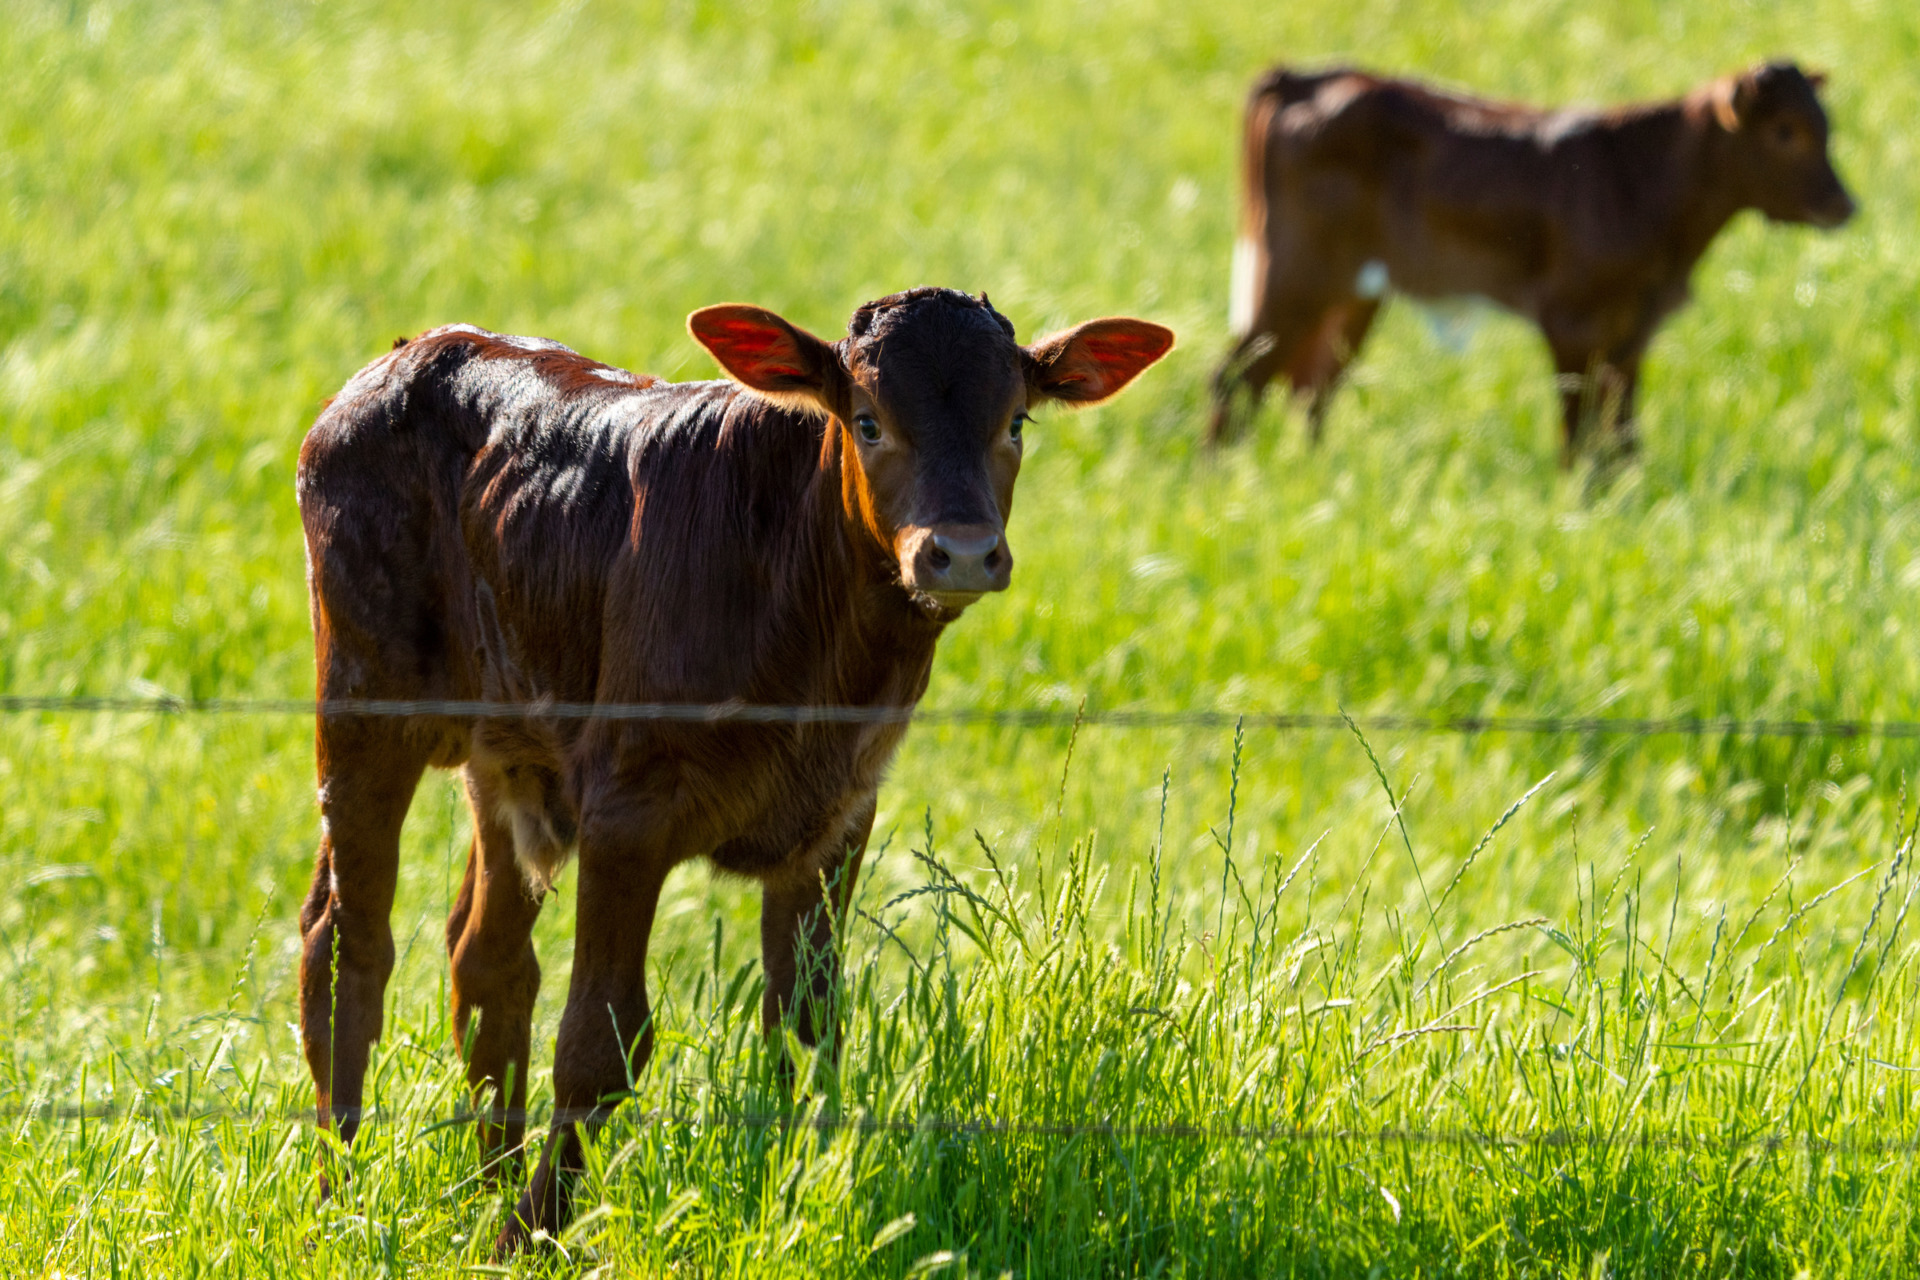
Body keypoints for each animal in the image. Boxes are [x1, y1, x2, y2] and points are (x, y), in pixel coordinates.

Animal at [295, 287, 1167, 1251]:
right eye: (868, 420)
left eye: (1014, 421)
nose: (964, 551)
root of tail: (416, 350)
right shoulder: (626, 812)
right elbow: (600, 1043)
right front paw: (530, 1238)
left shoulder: (837, 820)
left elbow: (805, 1032)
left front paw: (798, 1203)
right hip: (366, 700)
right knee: (346, 947)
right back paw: (341, 1200)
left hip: (509, 748)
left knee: (487, 962)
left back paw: (482, 1187)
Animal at [1205, 61, 1850, 460]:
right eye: (1785, 131)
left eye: (1826, 128)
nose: (1845, 205)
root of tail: (1304, 76)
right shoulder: (1571, 318)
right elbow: (1581, 432)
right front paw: (1583, 510)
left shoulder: (1633, 329)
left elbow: (1623, 435)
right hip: (1297, 273)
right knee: (1236, 378)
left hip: (1352, 293)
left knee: (1309, 384)